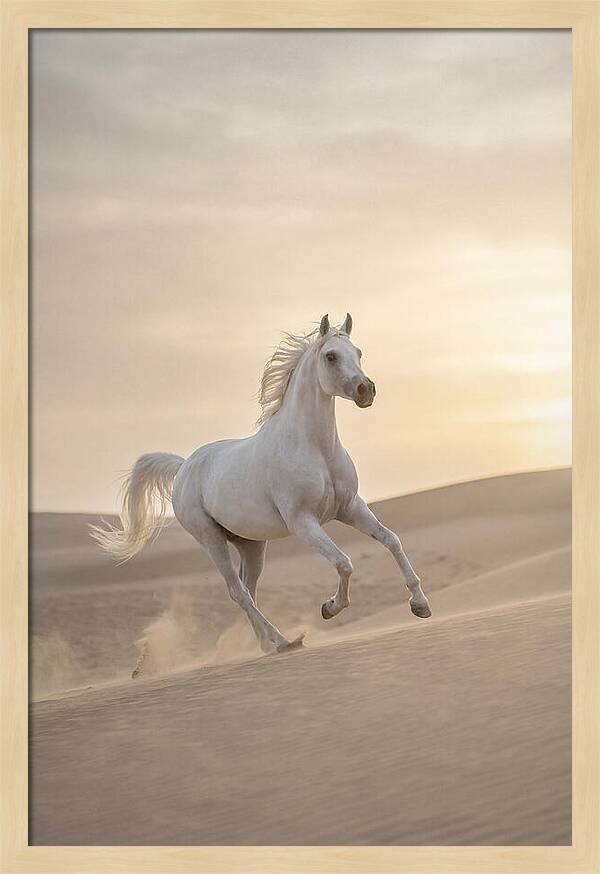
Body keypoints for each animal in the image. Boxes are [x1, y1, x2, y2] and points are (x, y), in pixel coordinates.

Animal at [91, 313, 431, 664]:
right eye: (331, 356)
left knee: (248, 590)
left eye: (359, 353)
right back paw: (282, 641)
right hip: (210, 540)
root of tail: (184, 466)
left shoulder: (350, 508)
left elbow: (391, 540)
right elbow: (343, 563)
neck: (316, 448)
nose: (366, 390)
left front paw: (420, 605)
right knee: (237, 592)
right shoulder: (303, 522)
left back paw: (267, 643)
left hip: (252, 545)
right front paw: (329, 608)